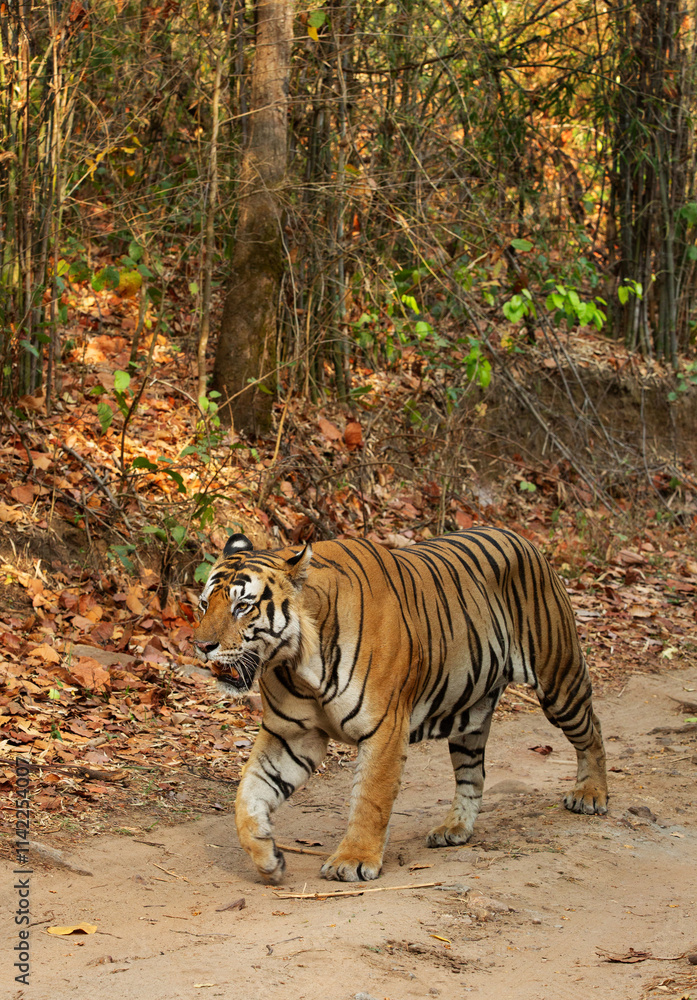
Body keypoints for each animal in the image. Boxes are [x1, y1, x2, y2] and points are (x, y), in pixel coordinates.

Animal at [192, 527, 608, 884]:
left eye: (242, 607)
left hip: (560, 679)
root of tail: (522, 537)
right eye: (203, 604)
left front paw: (353, 861)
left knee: (592, 732)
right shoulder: (290, 735)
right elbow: (248, 796)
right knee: (472, 774)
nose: (201, 645)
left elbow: (370, 799)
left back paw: (591, 795)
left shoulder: (384, 728)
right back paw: (454, 828)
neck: (296, 663)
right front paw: (268, 859)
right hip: (470, 713)